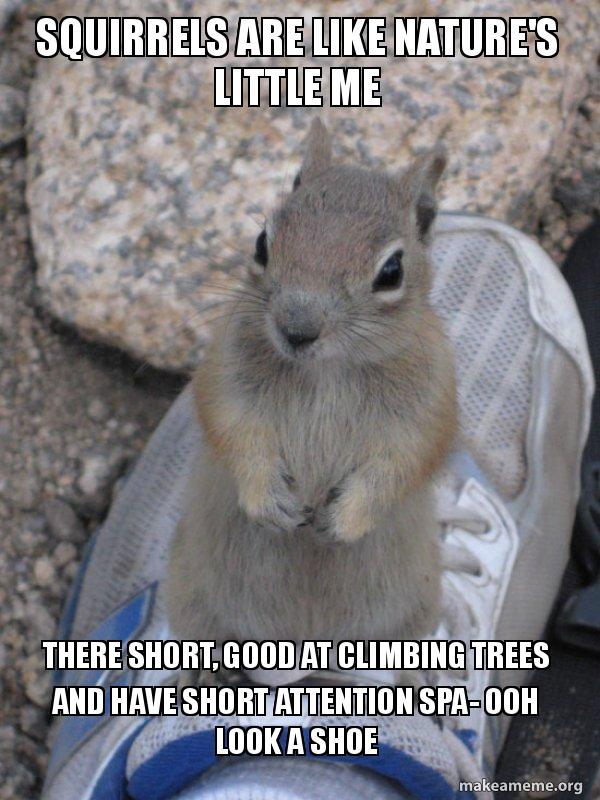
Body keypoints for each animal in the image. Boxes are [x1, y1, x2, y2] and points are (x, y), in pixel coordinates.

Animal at [167, 119, 457, 673]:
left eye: (392, 272)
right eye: (262, 242)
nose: (296, 329)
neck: (325, 372)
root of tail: (305, 644)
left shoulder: (429, 407)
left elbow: (401, 464)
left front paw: (343, 521)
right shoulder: (227, 377)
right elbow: (235, 433)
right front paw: (269, 501)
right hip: (196, 609)